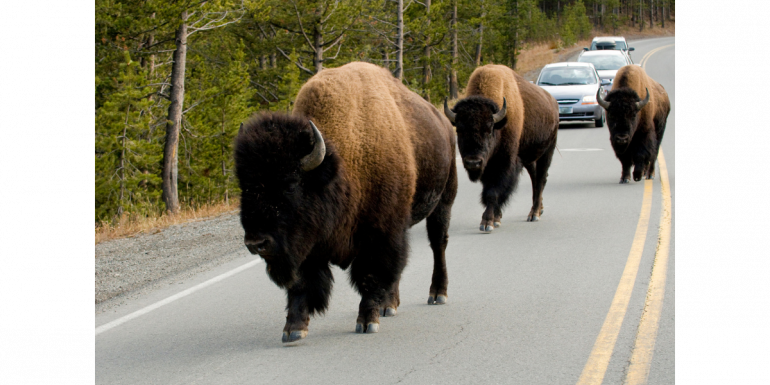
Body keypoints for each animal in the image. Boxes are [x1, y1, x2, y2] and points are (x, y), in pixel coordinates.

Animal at [234, 61, 456, 344]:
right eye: (245, 187)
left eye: (291, 184)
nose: (256, 243)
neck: (341, 165)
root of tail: (444, 123)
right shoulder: (306, 244)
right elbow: (301, 283)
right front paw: (293, 329)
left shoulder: (378, 235)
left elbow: (370, 276)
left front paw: (367, 321)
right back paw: (390, 305)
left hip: (443, 200)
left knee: (438, 245)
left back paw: (437, 294)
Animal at [444, 64, 560, 231]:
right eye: (459, 130)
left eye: (489, 129)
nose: (473, 162)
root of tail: (553, 101)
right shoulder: (487, 165)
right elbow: (490, 190)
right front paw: (496, 218)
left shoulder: (504, 163)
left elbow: (493, 191)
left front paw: (487, 222)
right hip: (529, 157)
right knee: (535, 178)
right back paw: (539, 209)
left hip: (547, 151)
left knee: (541, 179)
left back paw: (534, 214)